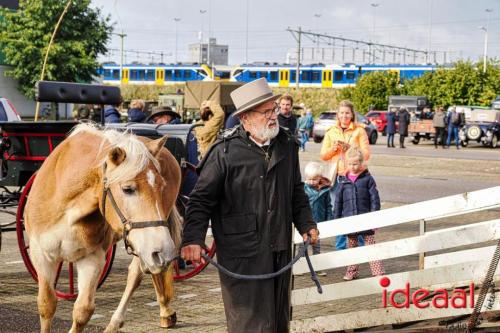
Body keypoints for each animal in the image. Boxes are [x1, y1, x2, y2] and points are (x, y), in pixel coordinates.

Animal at [23, 123, 183, 330]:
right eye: (128, 189)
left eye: (162, 187)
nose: (165, 252)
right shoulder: (41, 254)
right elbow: (46, 305)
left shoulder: (93, 258)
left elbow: (83, 311)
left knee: (137, 272)